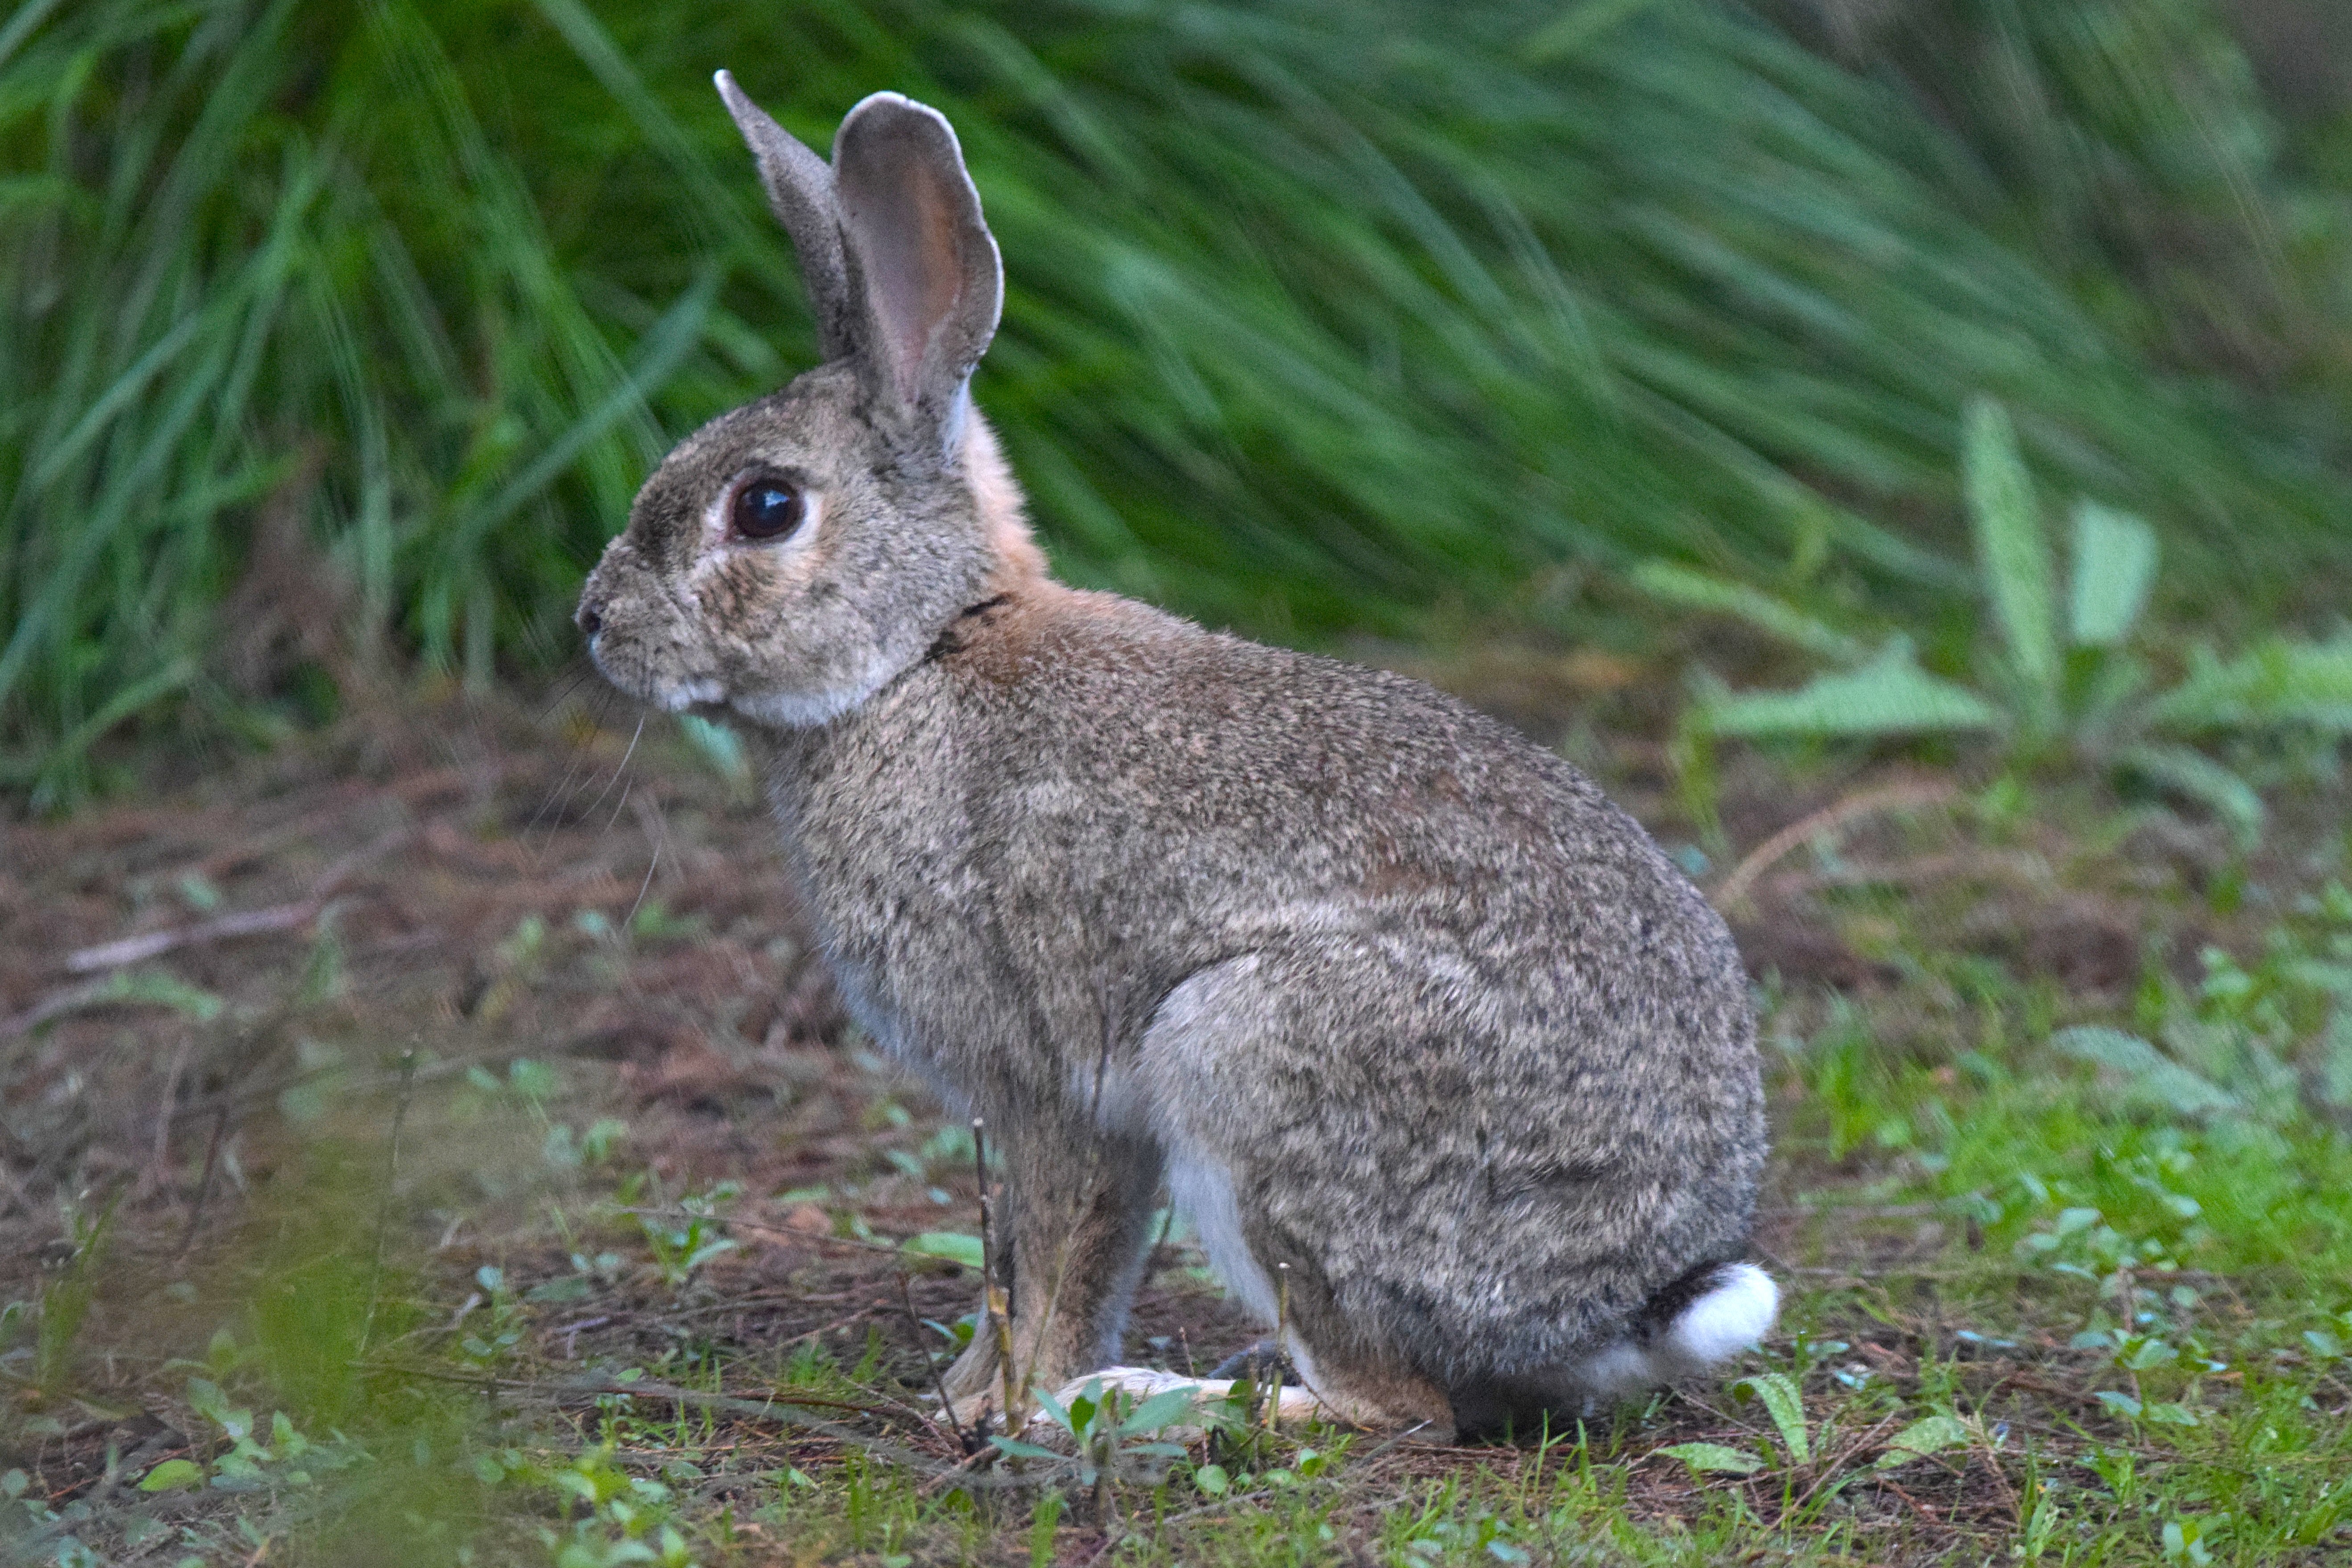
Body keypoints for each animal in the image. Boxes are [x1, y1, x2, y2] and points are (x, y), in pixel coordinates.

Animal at [575, 75, 1775, 1442]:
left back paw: (1165, 1401)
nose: (594, 622)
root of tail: (1628, 1301)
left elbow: (1047, 1252)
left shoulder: (1046, 1077)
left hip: (1241, 1055)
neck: (926, 648)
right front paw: (966, 1394)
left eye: (766, 507)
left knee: (1395, 1404)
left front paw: (1015, 1405)